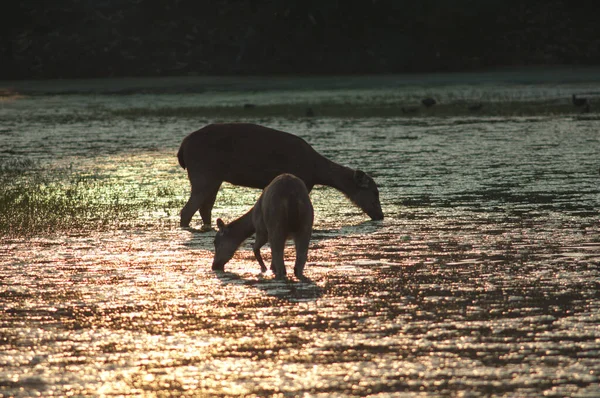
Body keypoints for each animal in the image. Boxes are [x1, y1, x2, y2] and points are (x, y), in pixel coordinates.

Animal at [178, 121, 384, 229]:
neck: (316, 171)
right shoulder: (302, 181)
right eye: (375, 192)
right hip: (203, 172)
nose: (381, 215)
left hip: (214, 177)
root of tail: (182, 149)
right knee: (188, 209)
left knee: (205, 208)